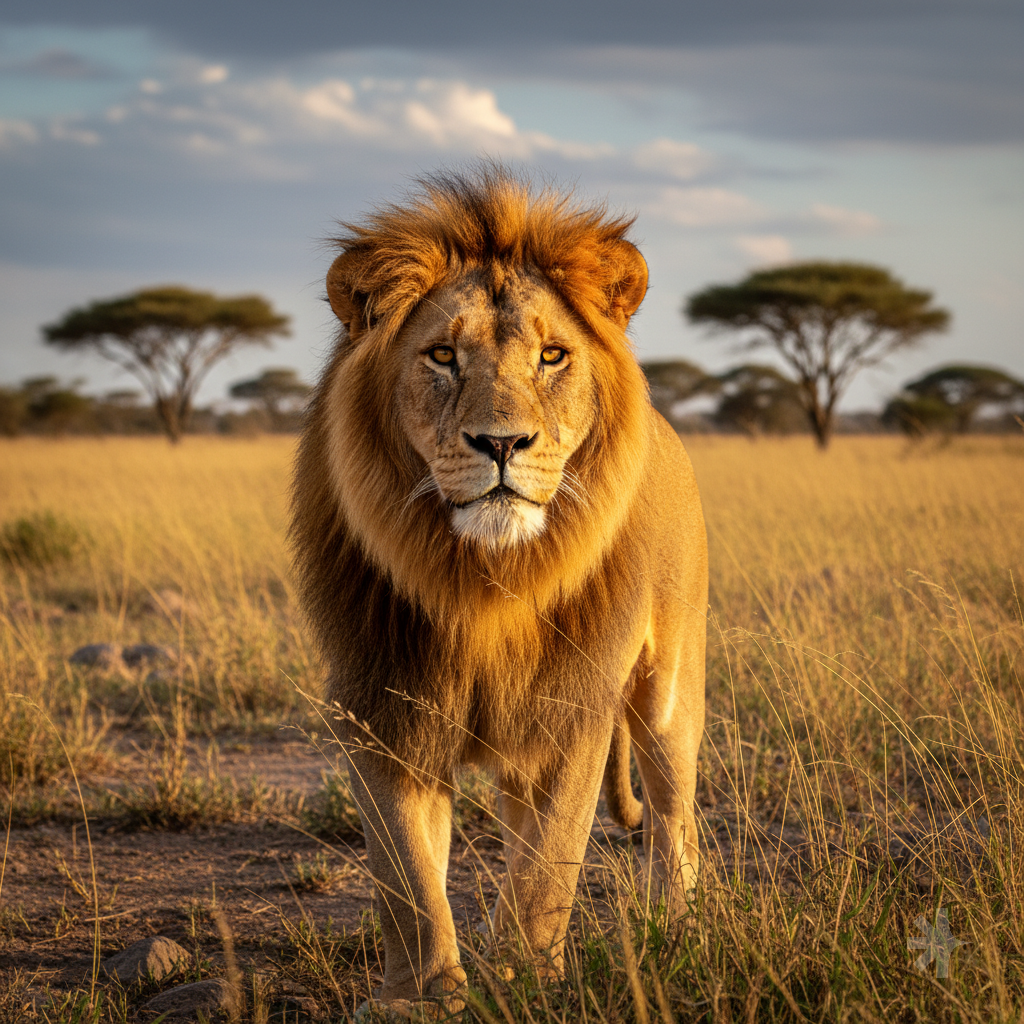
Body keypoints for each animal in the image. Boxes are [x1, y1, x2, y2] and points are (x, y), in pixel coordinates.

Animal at [291, 167, 707, 1014]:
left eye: (552, 355)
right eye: (442, 355)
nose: (502, 443)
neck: (485, 580)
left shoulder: (572, 711)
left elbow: (547, 869)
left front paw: (521, 980)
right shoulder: (381, 707)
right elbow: (408, 881)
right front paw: (420, 998)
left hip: (668, 697)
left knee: (674, 823)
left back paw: (676, 936)